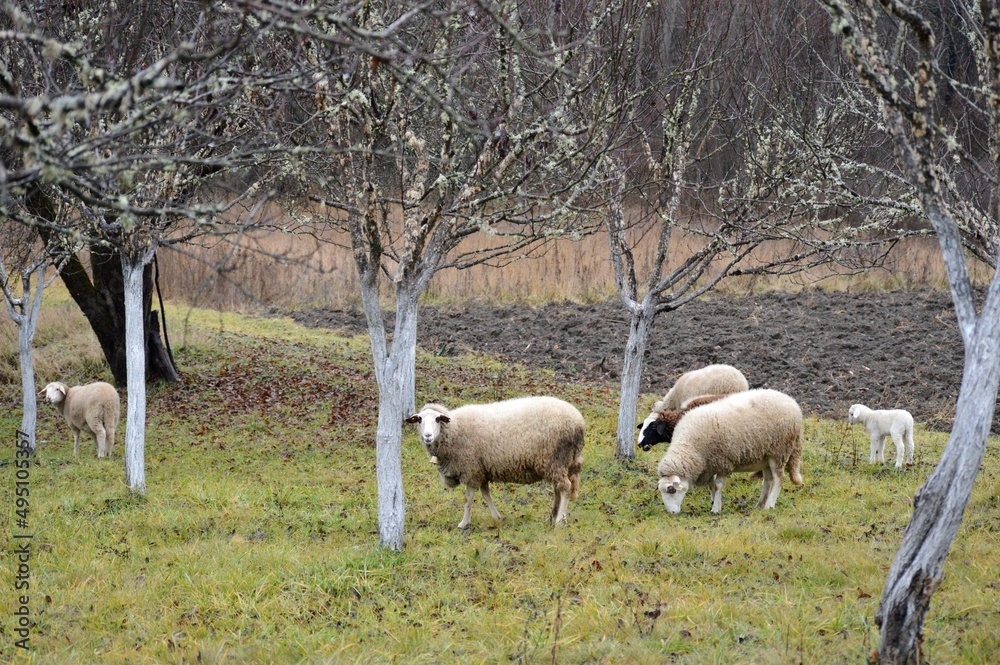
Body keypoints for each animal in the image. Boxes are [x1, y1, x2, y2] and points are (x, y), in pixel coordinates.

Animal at [405, 396, 585, 529]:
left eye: (437, 419)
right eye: (419, 419)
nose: (427, 436)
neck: (454, 428)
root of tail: (578, 421)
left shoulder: (470, 469)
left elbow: (468, 498)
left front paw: (464, 523)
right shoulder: (481, 469)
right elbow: (486, 493)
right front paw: (496, 516)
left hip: (555, 459)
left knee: (565, 488)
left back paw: (560, 520)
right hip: (560, 463)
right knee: (558, 490)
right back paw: (552, 517)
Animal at [657, 388, 804, 514]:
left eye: (671, 490)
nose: (672, 513)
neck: (690, 446)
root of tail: (791, 401)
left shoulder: (723, 462)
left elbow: (717, 485)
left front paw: (716, 508)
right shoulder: (710, 464)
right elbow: (712, 486)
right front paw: (714, 502)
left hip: (779, 451)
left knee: (779, 478)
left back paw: (770, 505)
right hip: (766, 456)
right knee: (768, 480)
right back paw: (760, 504)